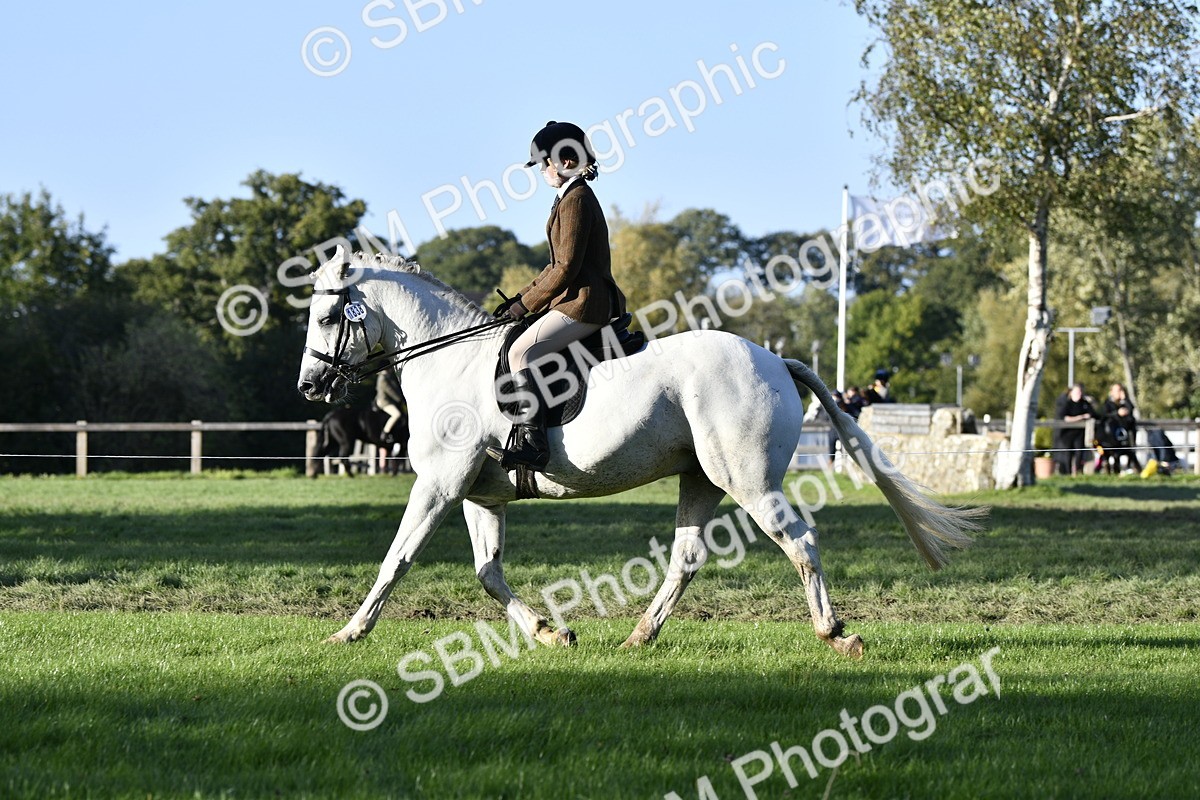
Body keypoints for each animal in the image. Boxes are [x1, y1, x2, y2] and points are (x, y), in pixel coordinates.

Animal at [297, 250, 985, 657]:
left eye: (328, 316)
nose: (309, 386)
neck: (452, 361)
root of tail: (774, 359)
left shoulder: (439, 484)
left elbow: (397, 559)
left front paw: (349, 632)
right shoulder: (478, 493)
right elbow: (488, 572)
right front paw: (552, 632)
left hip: (749, 480)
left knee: (800, 541)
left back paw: (836, 633)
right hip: (702, 479)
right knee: (687, 557)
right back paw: (640, 635)